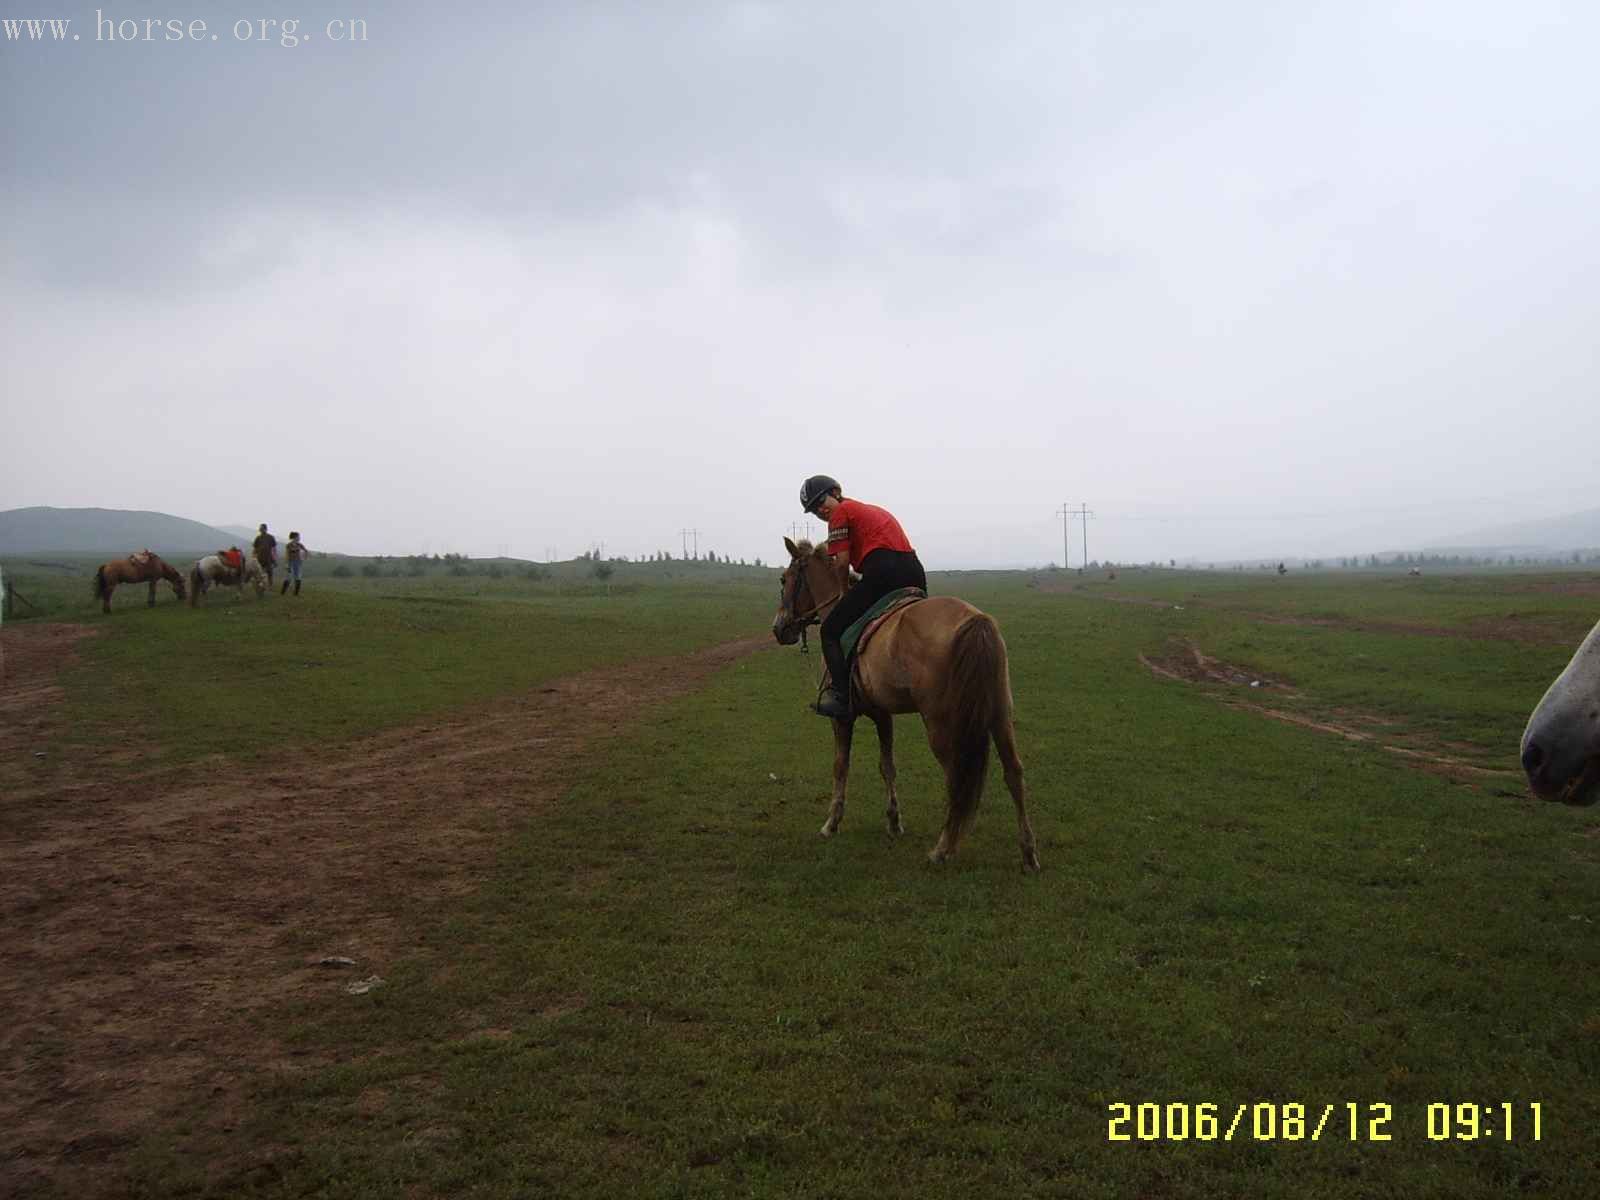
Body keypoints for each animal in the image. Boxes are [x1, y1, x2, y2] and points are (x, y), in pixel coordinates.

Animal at [771, 473, 1043, 870]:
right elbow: (888, 765)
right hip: (998, 712)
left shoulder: (843, 718)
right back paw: (1028, 853)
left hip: (942, 721)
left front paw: (831, 823)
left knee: (956, 777)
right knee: (1014, 771)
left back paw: (943, 849)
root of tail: (974, 621)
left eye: (785, 579)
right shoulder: (882, 712)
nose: (779, 629)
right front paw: (894, 821)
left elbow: (841, 766)